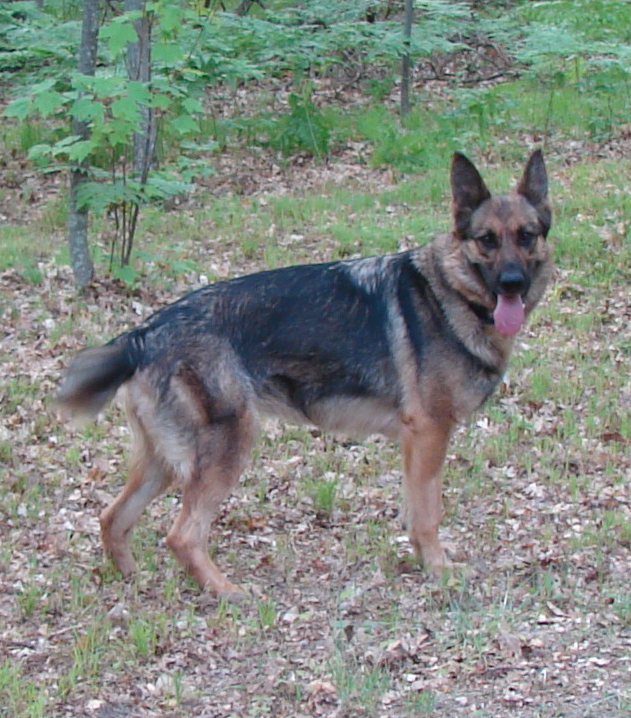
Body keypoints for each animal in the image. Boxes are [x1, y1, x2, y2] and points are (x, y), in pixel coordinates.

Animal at [58, 152, 552, 600]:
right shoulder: (429, 434)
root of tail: (143, 334)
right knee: (181, 535)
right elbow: (429, 512)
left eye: (526, 237)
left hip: (163, 461)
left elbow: (417, 510)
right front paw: (439, 571)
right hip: (227, 448)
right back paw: (225, 592)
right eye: (486, 240)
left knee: (112, 517)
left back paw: (132, 583)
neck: (448, 292)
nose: (512, 283)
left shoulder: (419, 443)